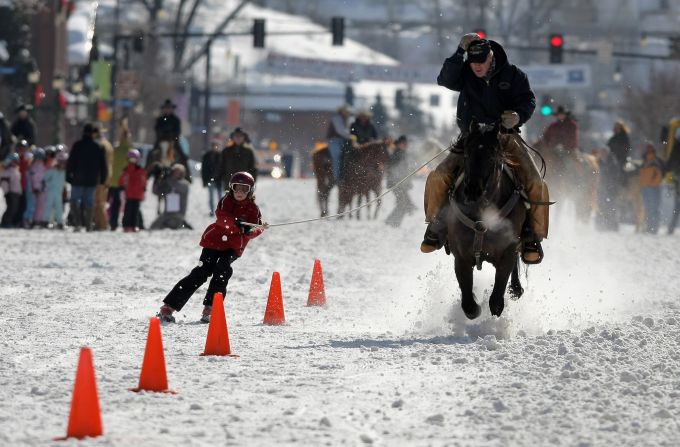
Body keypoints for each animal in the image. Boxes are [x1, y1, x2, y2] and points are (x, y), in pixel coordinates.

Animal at [452, 122, 524, 318]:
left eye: (492, 155)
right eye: (467, 153)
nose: (472, 190)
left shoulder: (508, 251)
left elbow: (496, 301)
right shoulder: (461, 257)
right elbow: (469, 306)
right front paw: (475, 308)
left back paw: (516, 288)